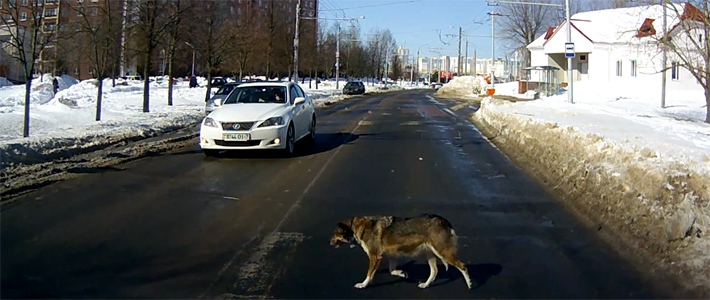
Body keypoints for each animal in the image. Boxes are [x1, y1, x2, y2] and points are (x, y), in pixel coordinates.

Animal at [330, 213, 476, 288]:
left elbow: (369, 274)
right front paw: (402, 273)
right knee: (434, 271)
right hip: (429, 254)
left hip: (443, 253)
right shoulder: (391, 256)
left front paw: (363, 284)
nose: (329, 242)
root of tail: (443, 220)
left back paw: (469, 284)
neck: (354, 227)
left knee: (463, 266)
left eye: (335, 234)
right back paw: (425, 285)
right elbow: (391, 270)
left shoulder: (375, 256)